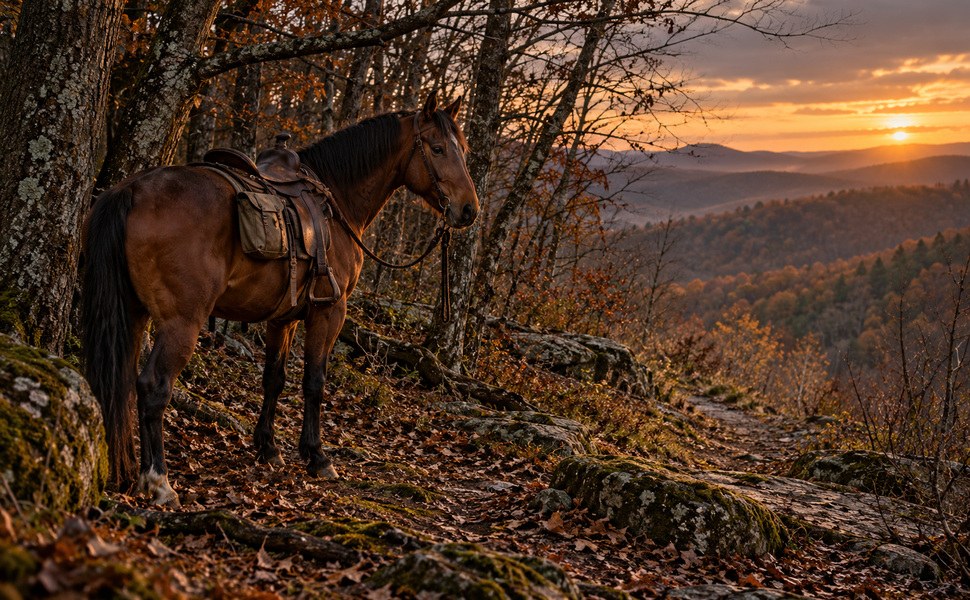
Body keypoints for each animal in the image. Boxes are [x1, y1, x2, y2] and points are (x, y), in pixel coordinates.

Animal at [82, 94, 479, 506]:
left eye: (463, 150)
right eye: (437, 148)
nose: (469, 209)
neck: (336, 199)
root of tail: (131, 191)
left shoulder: (282, 317)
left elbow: (273, 378)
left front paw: (268, 448)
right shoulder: (329, 312)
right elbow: (314, 382)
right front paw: (317, 456)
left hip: (133, 314)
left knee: (119, 382)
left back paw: (124, 467)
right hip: (181, 323)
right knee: (152, 386)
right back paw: (158, 480)